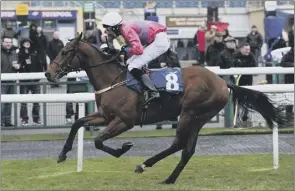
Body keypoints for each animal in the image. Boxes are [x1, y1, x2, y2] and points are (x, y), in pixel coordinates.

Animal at [45, 33, 288, 184]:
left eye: (65, 51)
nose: (48, 73)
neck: (114, 80)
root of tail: (222, 81)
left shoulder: (125, 121)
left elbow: (97, 141)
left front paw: (124, 148)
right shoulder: (106, 116)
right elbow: (78, 123)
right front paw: (62, 154)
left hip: (190, 113)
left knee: (178, 144)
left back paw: (145, 165)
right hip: (199, 117)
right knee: (187, 150)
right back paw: (168, 178)